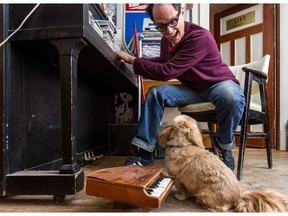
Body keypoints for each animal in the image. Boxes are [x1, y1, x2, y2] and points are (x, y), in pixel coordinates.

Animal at [159, 115, 288, 212]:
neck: (182, 145)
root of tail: (240, 195)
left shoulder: (177, 178)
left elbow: (181, 190)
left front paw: (179, 196)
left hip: (205, 195)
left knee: (222, 208)